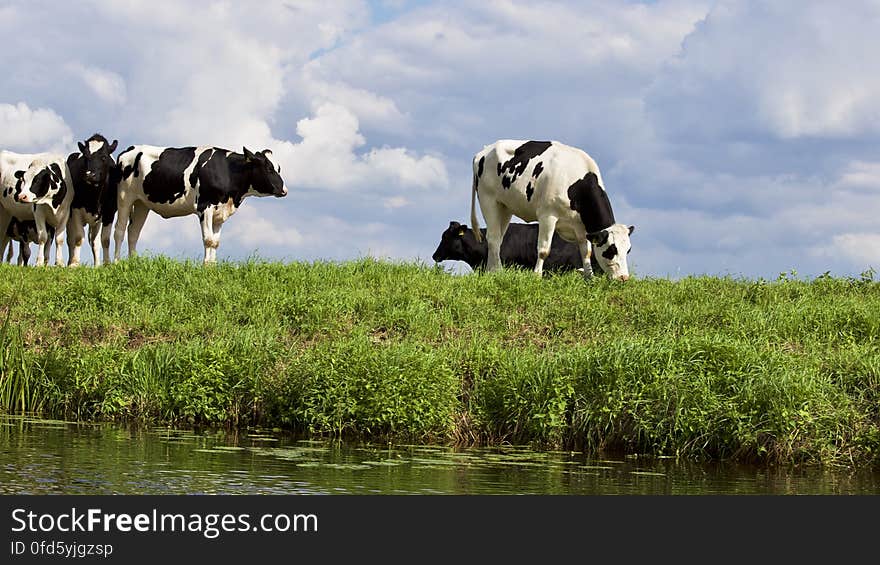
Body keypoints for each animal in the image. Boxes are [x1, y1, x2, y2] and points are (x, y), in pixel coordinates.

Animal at [66, 133, 118, 266]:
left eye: (104, 157)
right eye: (86, 157)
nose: (90, 175)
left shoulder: (109, 212)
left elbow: (104, 240)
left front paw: (105, 264)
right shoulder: (75, 210)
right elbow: (78, 237)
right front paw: (75, 264)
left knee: (94, 241)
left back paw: (96, 264)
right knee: (70, 239)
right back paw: (69, 261)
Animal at [113, 143, 288, 262]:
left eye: (279, 168)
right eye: (268, 168)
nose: (284, 190)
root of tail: (130, 149)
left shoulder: (220, 212)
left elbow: (215, 242)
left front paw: (212, 266)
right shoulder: (205, 207)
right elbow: (208, 239)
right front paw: (206, 266)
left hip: (142, 203)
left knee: (133, 232)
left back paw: (134, 262)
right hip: (124, 197)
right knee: (119, 230)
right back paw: (116, 263)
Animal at [470, 139, 636, 280]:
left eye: (628, 250)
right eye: (611, 250)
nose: (624, 278)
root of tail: (484, 151)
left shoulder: (581, 227)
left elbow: (586, 252)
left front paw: (590, 277)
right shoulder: (547, 216)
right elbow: (544, 250)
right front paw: (537, 276)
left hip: (505, 206)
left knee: (498, 239)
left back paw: (491, 271)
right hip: (488, 200)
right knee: (492, 237)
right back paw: (497, 271)